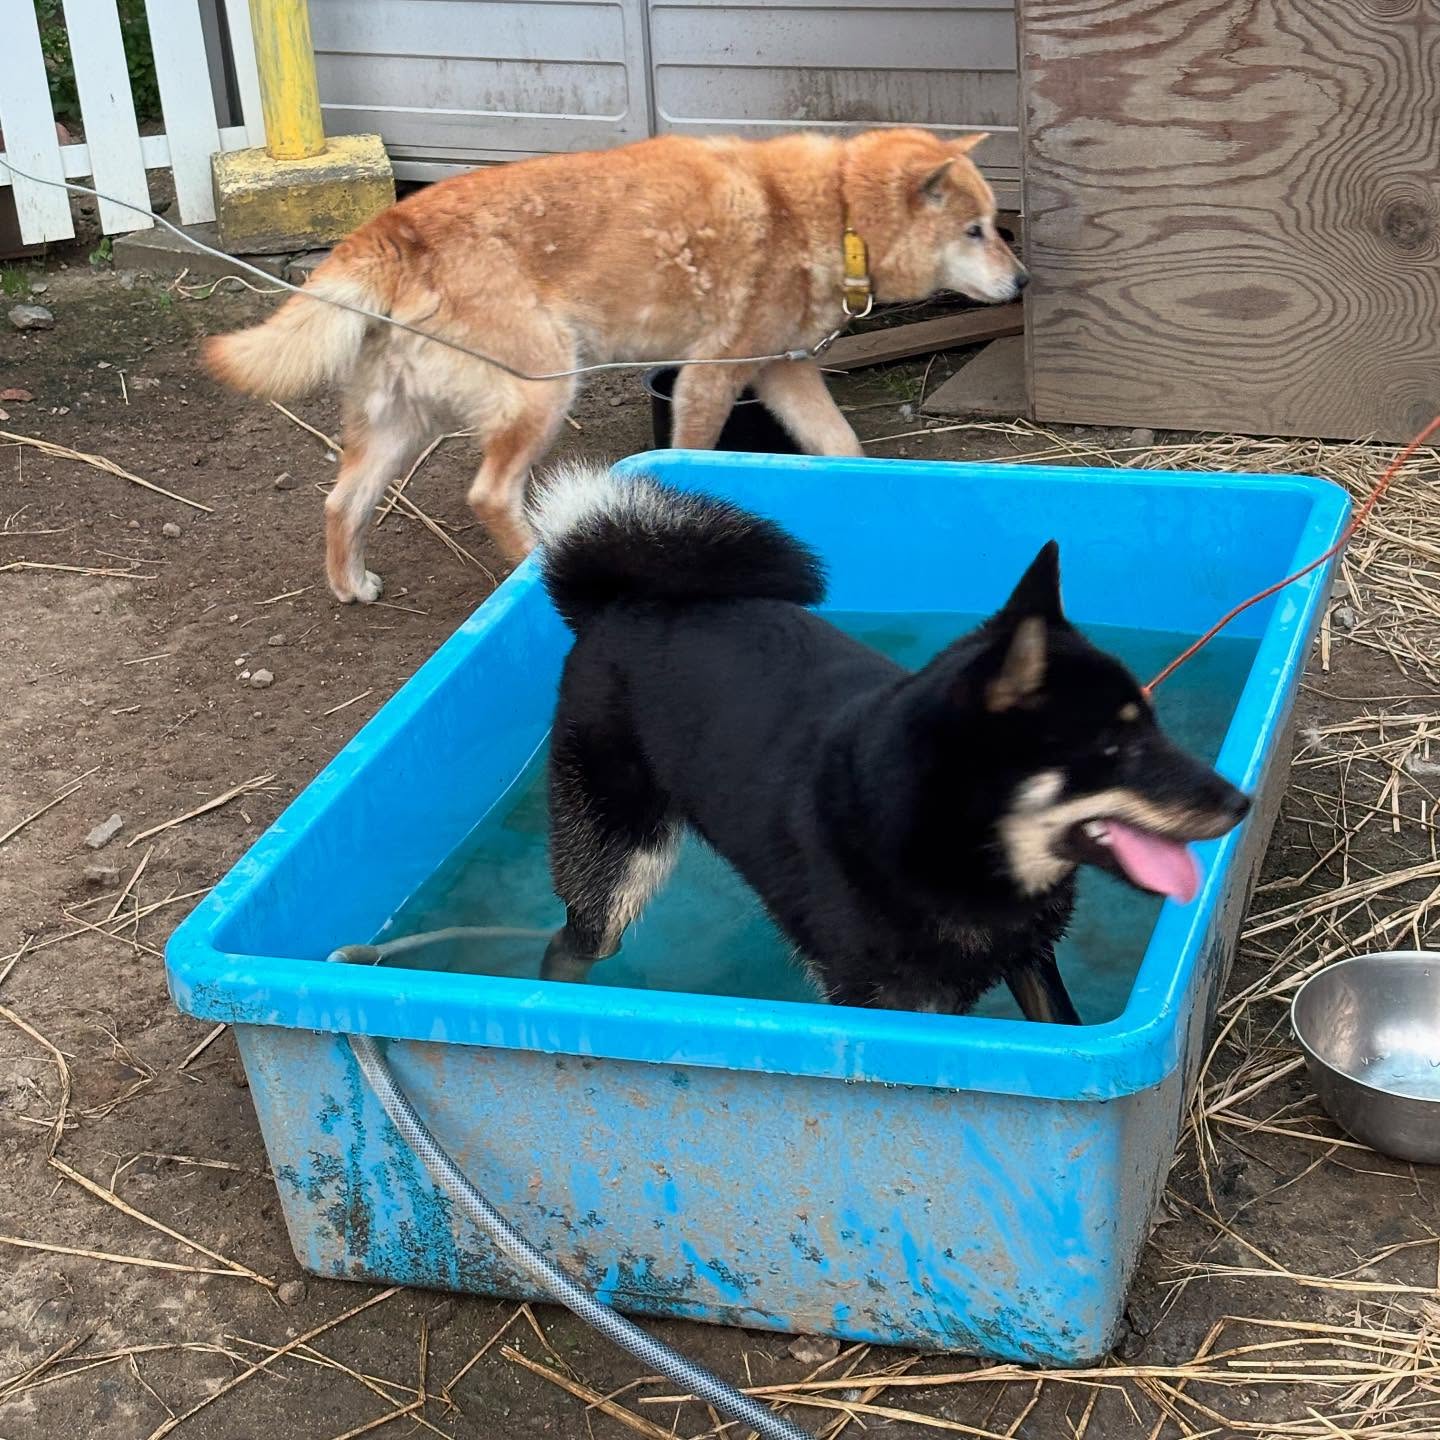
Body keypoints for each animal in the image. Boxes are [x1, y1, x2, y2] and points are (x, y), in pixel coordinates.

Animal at [201, 128, 1026, 604]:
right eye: (977, 230)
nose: (1023, 284)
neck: (831, 210)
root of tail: (395, 224)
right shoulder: (711, 375)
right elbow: (694, 456)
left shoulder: (778, 372)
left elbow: (841, 446)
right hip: (544, 388)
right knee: (488, 494)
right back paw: (537, 561)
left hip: (402, 421)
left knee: (342, 503)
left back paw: (350, 585)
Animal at [529, 466, 1251, 1021]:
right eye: (1113, 749)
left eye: (1153, 726)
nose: (1239, 804)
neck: (943, 834)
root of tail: (616, 603)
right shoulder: (888, 1002)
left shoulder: (1029, 960)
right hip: (619, 861)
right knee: (571, 945)